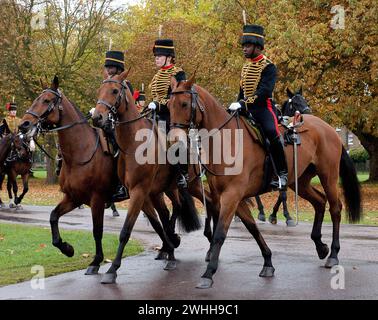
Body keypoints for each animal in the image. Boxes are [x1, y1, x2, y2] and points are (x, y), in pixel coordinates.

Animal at [93, 70, 276, 284]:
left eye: (114, 91)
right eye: (100, 89)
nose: (97, 117)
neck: (133, 143)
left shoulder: (141, 191)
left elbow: (126, 230)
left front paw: (112, 269)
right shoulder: (144, 193)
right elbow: (158, 222)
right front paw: (169, 248)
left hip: (192, 184)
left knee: (207, 203)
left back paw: (207, 244)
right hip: (178, 187)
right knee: (192, 206)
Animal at [170, 74, 362, 288]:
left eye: (184, 104)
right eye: (168, 105)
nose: (174, 140)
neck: (225, 141)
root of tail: (328, 128)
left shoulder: (232, 196)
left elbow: (221, 233)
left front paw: (208, 273)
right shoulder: (230, 197)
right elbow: (252, 228)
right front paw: (268, 262)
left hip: (328, 175)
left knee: (335, 208)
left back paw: (333, 254)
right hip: (300, 182)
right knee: (320, 201)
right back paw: (321, 247)